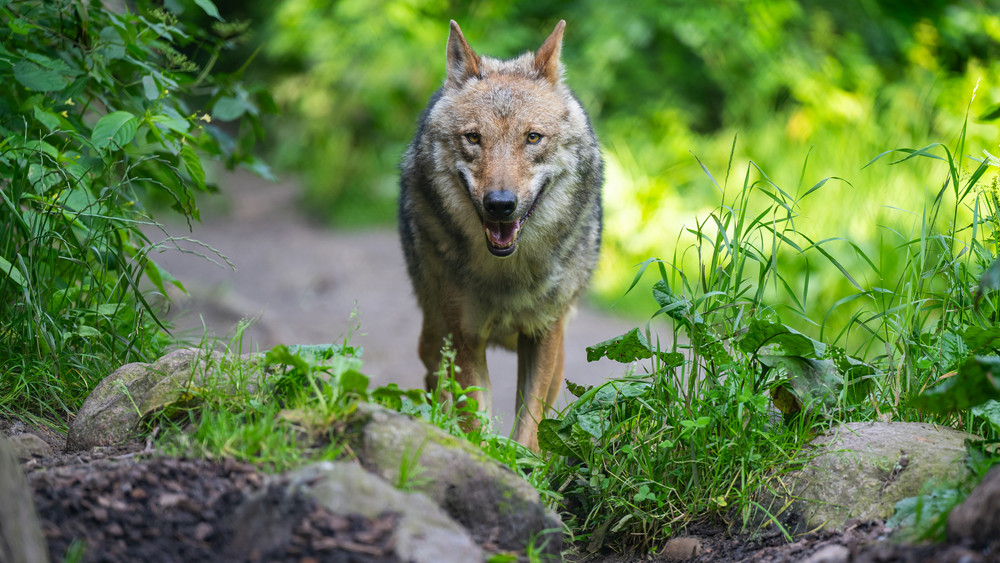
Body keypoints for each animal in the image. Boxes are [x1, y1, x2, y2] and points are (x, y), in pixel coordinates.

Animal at [396, 19, 600, 450]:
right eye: (474, 137)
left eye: (533, 137)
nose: (500, 204)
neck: (508, 275)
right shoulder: (465, 335)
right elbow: (476, 419)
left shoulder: (544, 333)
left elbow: (530, 425)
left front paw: (522, 462)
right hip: (435, 334)